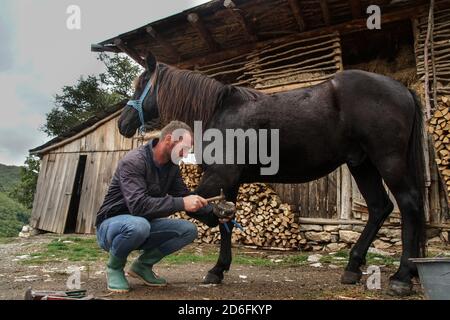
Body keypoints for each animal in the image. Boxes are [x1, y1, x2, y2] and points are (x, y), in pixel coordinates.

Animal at [118, 53, 428, 296]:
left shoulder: (219, 177)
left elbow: (198, 208)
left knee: (409, 205)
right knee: (379, 207)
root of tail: (402, 89)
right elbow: (226, 223)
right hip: (361, 164)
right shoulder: (230, 183)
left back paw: (402, 278)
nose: (123, 123)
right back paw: (354, 268)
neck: (219, 112)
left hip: (388, 160)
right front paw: (218, 270)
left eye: (141, 84)